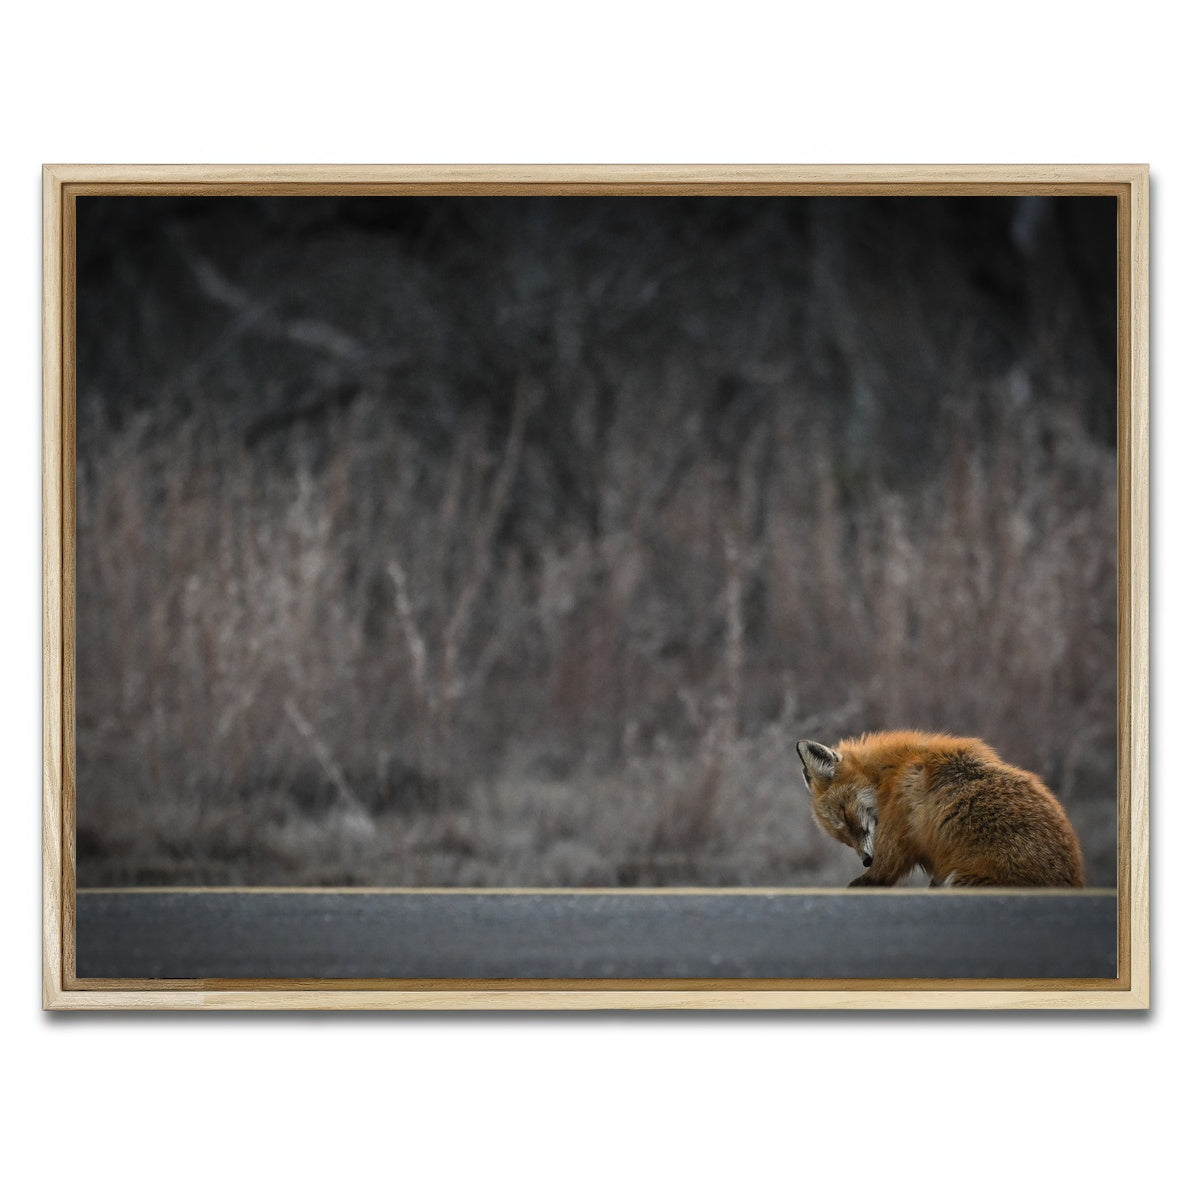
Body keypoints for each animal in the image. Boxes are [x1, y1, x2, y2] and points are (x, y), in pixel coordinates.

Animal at [795, 731, 1085, 887]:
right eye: (843, 838)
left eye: (846, 816)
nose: (866, 859)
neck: (893, 772)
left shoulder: (895, 839)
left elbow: (878, 873)